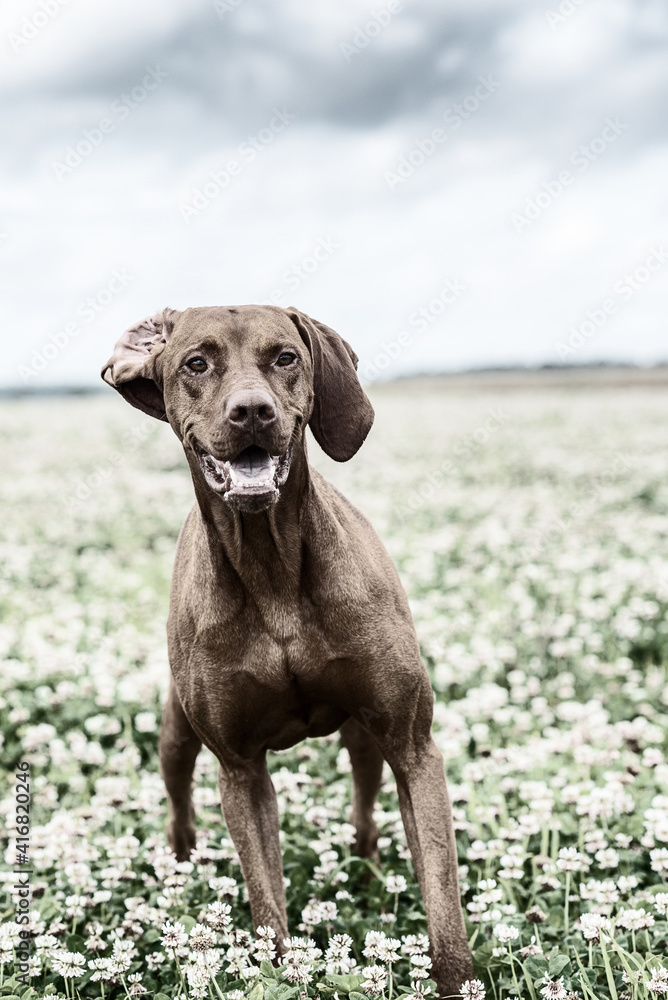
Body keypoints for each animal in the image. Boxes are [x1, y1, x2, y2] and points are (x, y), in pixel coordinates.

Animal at [102, 304, 472, 992]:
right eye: (196, 362)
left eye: (285, 357)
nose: (252, 411)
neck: (271, 567)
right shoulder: (240, 768)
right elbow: (267, 905)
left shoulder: (412, 744)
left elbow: (443, 902)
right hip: (175, 732)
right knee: (179, 799)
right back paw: (179, 869)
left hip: (365, 733)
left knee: (364, 796)